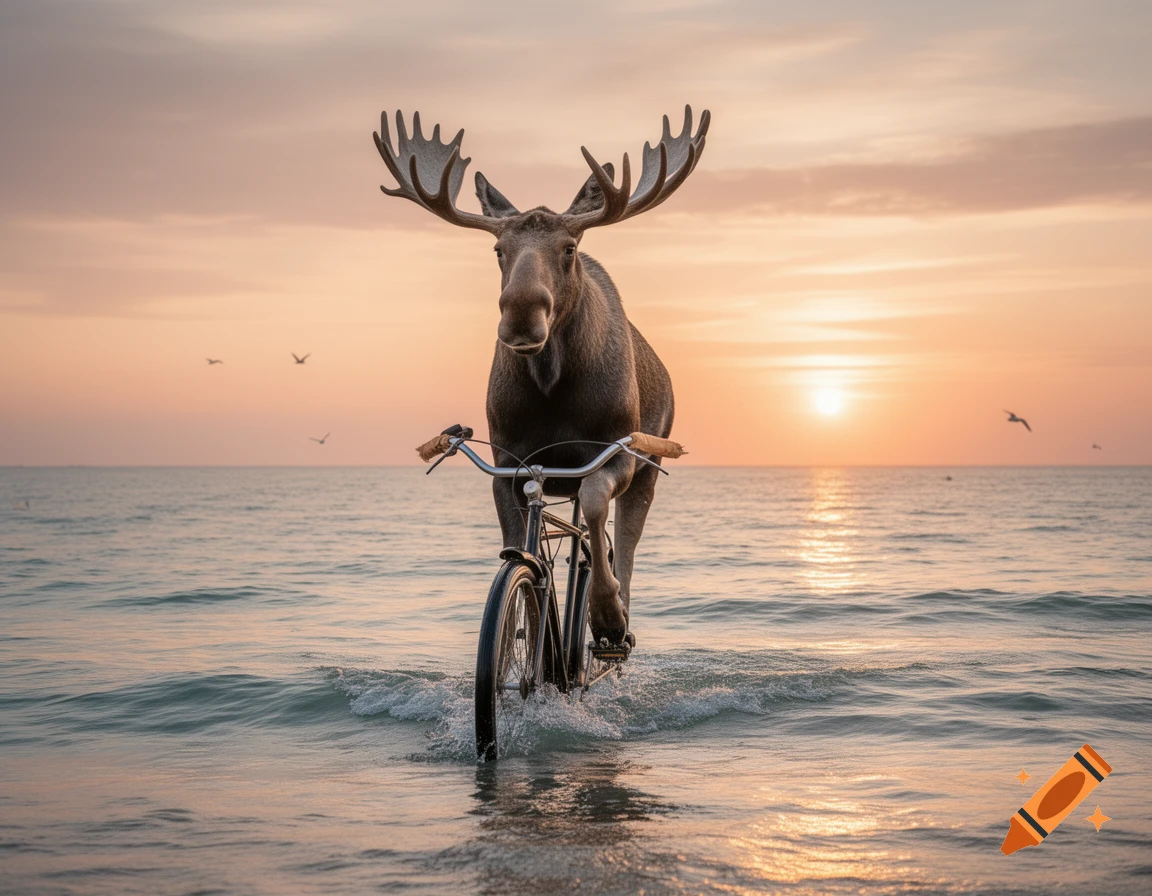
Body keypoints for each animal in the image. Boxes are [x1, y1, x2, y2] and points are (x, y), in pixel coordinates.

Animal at [374, 105, 710, 647]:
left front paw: (605, 612)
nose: (520, 314)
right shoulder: (508, 461)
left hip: (649, 462)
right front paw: (527, 637)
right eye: (498, 250)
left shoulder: (616, 449)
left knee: (624, 540)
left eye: (569, 247)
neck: (552, 383)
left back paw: (617, 622)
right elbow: (518, 556)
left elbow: (594, 506)